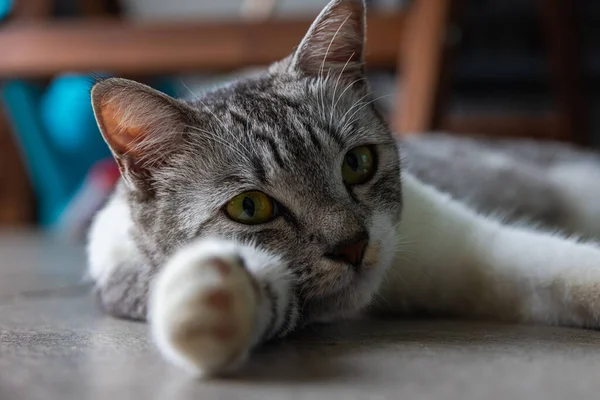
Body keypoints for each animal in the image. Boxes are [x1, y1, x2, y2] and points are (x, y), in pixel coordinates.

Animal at [86, 0, 600, 378]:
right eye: (250, 207)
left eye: (357, 163)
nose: (354, 246)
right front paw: (211, 297)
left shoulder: (471, 248)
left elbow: (561, 266)